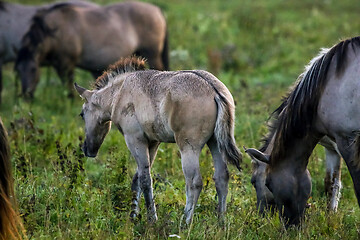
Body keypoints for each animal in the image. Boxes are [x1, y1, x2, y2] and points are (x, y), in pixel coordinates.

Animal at [14, 1, 169, 98]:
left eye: (33, 69)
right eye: (18, 70)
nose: (26, 96)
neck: (55, 31)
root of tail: (157, 10)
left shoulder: (66, 64)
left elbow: (68, 86)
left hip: (152, 54)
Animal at [74, 56, 240, 223]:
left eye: (82, 114)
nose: (87, 149)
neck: (121, 92)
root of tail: (214, 90)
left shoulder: (135, 140)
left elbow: (145, 180)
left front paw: (152, 219)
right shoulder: (153, 143)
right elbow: (137, 179)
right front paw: (133, 216)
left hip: (188, 148)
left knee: (194, 183)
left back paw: (185, 222)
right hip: (215, 143)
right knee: (221, 178)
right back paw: (221, 222)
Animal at [245, 37, 360, 227]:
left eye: (255, 182)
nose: (261, 216)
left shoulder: (348, 142)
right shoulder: (332, 148)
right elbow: (332, 185)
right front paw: (330, 219)